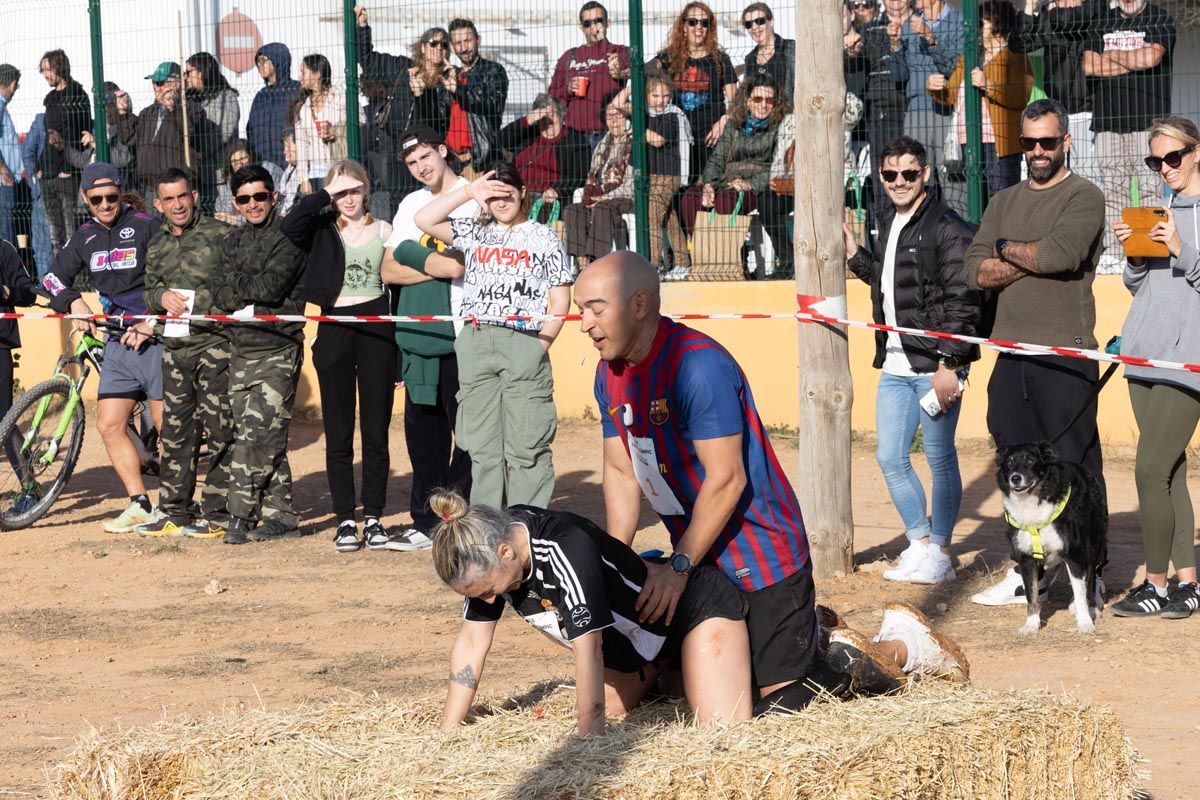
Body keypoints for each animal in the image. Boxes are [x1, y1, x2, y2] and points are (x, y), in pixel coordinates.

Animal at [993, 441, 1104, 633]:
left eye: (1030, 460)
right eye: (1009, 462)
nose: (1015, 478)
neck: (1031, 501)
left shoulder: (1074, 554)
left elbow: (1080, 592)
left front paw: (1085, 623)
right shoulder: (1026, 558)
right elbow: (1031, 595)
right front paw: (1031, 625)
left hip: (1091, 545)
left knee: (1090, 579)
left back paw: (1091, 607)